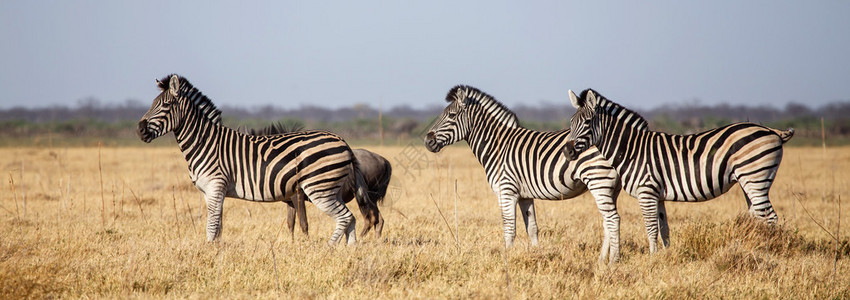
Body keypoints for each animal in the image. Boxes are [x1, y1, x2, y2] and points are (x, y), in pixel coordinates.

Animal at [136, 74, 372, 245]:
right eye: (153, 104)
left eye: (165, 106)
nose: (140, 130)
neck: (205, 142)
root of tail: (343, 141)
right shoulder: (209, 191)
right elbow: (218, 224)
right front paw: (217, 250)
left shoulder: (215, 186)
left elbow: (212, 225)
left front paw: (209, 250)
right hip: (331, 188)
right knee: (350, 218)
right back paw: (350, 250)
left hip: (318, 188)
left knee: (344, 217)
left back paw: (329, 248)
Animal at [245, 122, 390, 239]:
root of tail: (383, 160)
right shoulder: (290, 201)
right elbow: (290, 223)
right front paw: (291, 242)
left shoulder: (296, 195)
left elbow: (302, 222)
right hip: (371, 198)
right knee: (379, 220)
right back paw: (375, 241)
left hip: (363, 196)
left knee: (371, 218)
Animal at [420, 84, 620, 262]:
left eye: (451, 115)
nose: (427, 141)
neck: (497, 145)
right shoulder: (525, 195)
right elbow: (532, 227)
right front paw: (537, 255)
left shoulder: (506, 191)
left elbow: (509, 228)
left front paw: (506, 257)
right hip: (611, 187)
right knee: (607, 221)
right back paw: (602, 260)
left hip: (598, 180)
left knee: (611, 220)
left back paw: (610, 261)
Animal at [560, 88, 792, 253]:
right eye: (571, 121)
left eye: (587, 122)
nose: (567, 151)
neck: (632, 149)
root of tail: (771, 130)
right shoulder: (658, 194)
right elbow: (664, 229)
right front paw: (665, 257)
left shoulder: (646, 191)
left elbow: (651, 228)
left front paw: (652, 259)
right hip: (748, 182)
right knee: (759, 216)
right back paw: (755, 247)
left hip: (756, 178)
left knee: (770, 218)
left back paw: (770, 250)